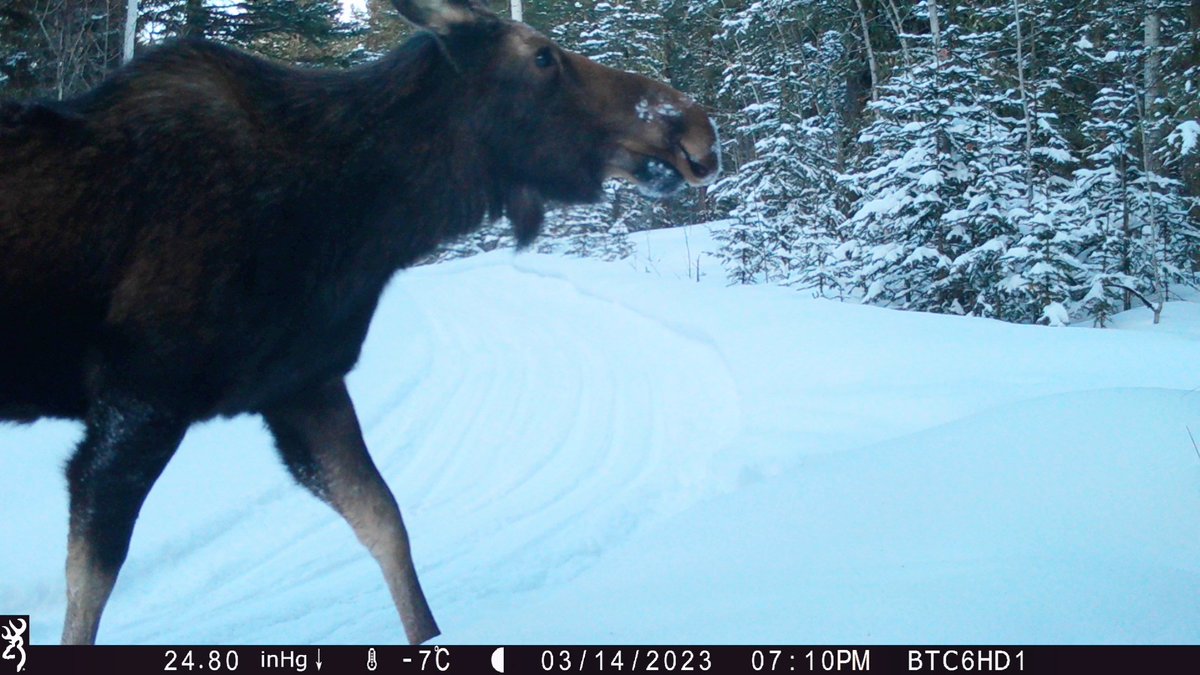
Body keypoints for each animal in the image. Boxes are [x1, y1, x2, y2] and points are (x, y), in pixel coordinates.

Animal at [0, 0, 719, 646]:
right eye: (543, 56)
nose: (693, 123)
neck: (361, 217)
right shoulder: (143, 394)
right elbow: (89, 585)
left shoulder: (302, 384)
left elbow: (385, 521)